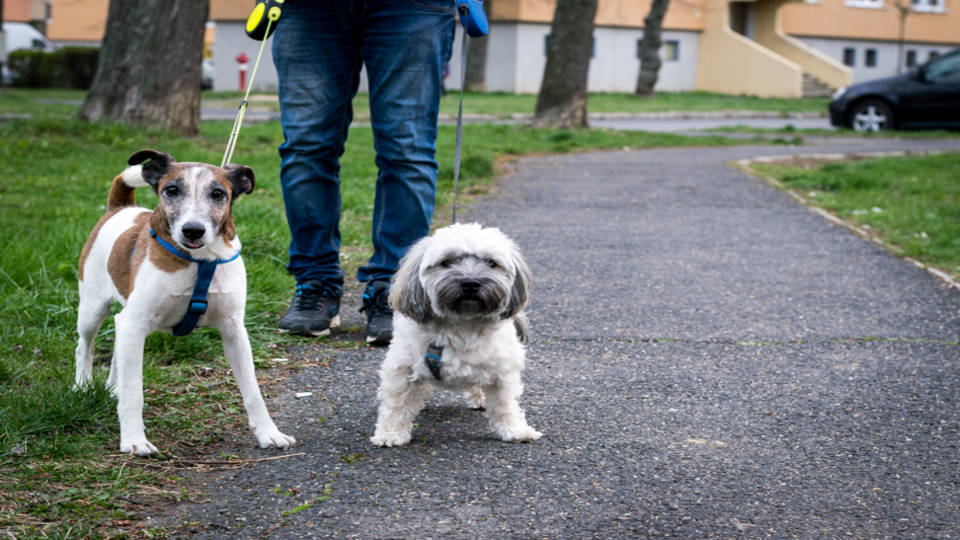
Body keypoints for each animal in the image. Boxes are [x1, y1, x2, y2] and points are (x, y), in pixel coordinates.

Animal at [76, 151, 296, 456]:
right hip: (92, 309)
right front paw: (134, 440)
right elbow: (134, 391)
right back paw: (82, 387)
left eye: (218, 194)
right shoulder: (135, 323)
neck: (201, 261)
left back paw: (111, 389)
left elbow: (253, 391)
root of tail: (120, 208)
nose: (193, 230)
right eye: (171, 190)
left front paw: (269, 433)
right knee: (84, 346)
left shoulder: (234, 331)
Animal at [372, 221, 544, 446]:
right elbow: (397, 403)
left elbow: (505, 403)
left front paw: (515, 430)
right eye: (447, 262)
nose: (470, 283)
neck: (463, 324)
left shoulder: (503, 370)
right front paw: (390, 433)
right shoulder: (401, 367)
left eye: (491, 262)